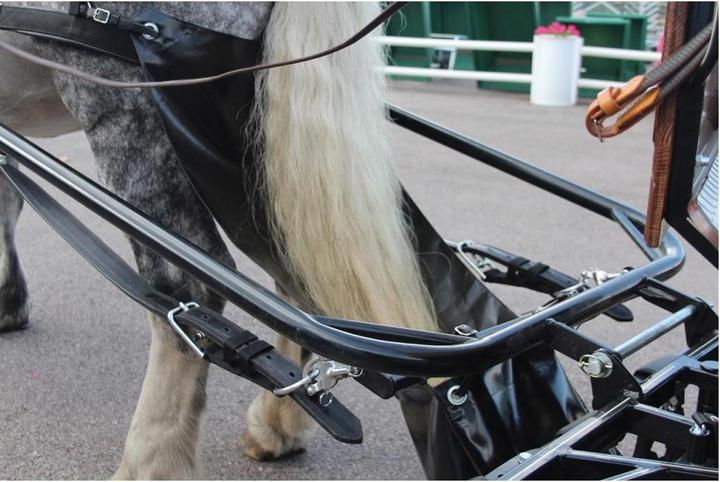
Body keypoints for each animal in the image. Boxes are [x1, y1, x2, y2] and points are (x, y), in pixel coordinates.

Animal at [0, 2, 439, 478]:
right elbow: (7, 200)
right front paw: (9, 302)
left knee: (189, 295)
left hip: (128, 110)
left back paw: (150, 461)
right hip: (251, 135)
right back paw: (276, 424)